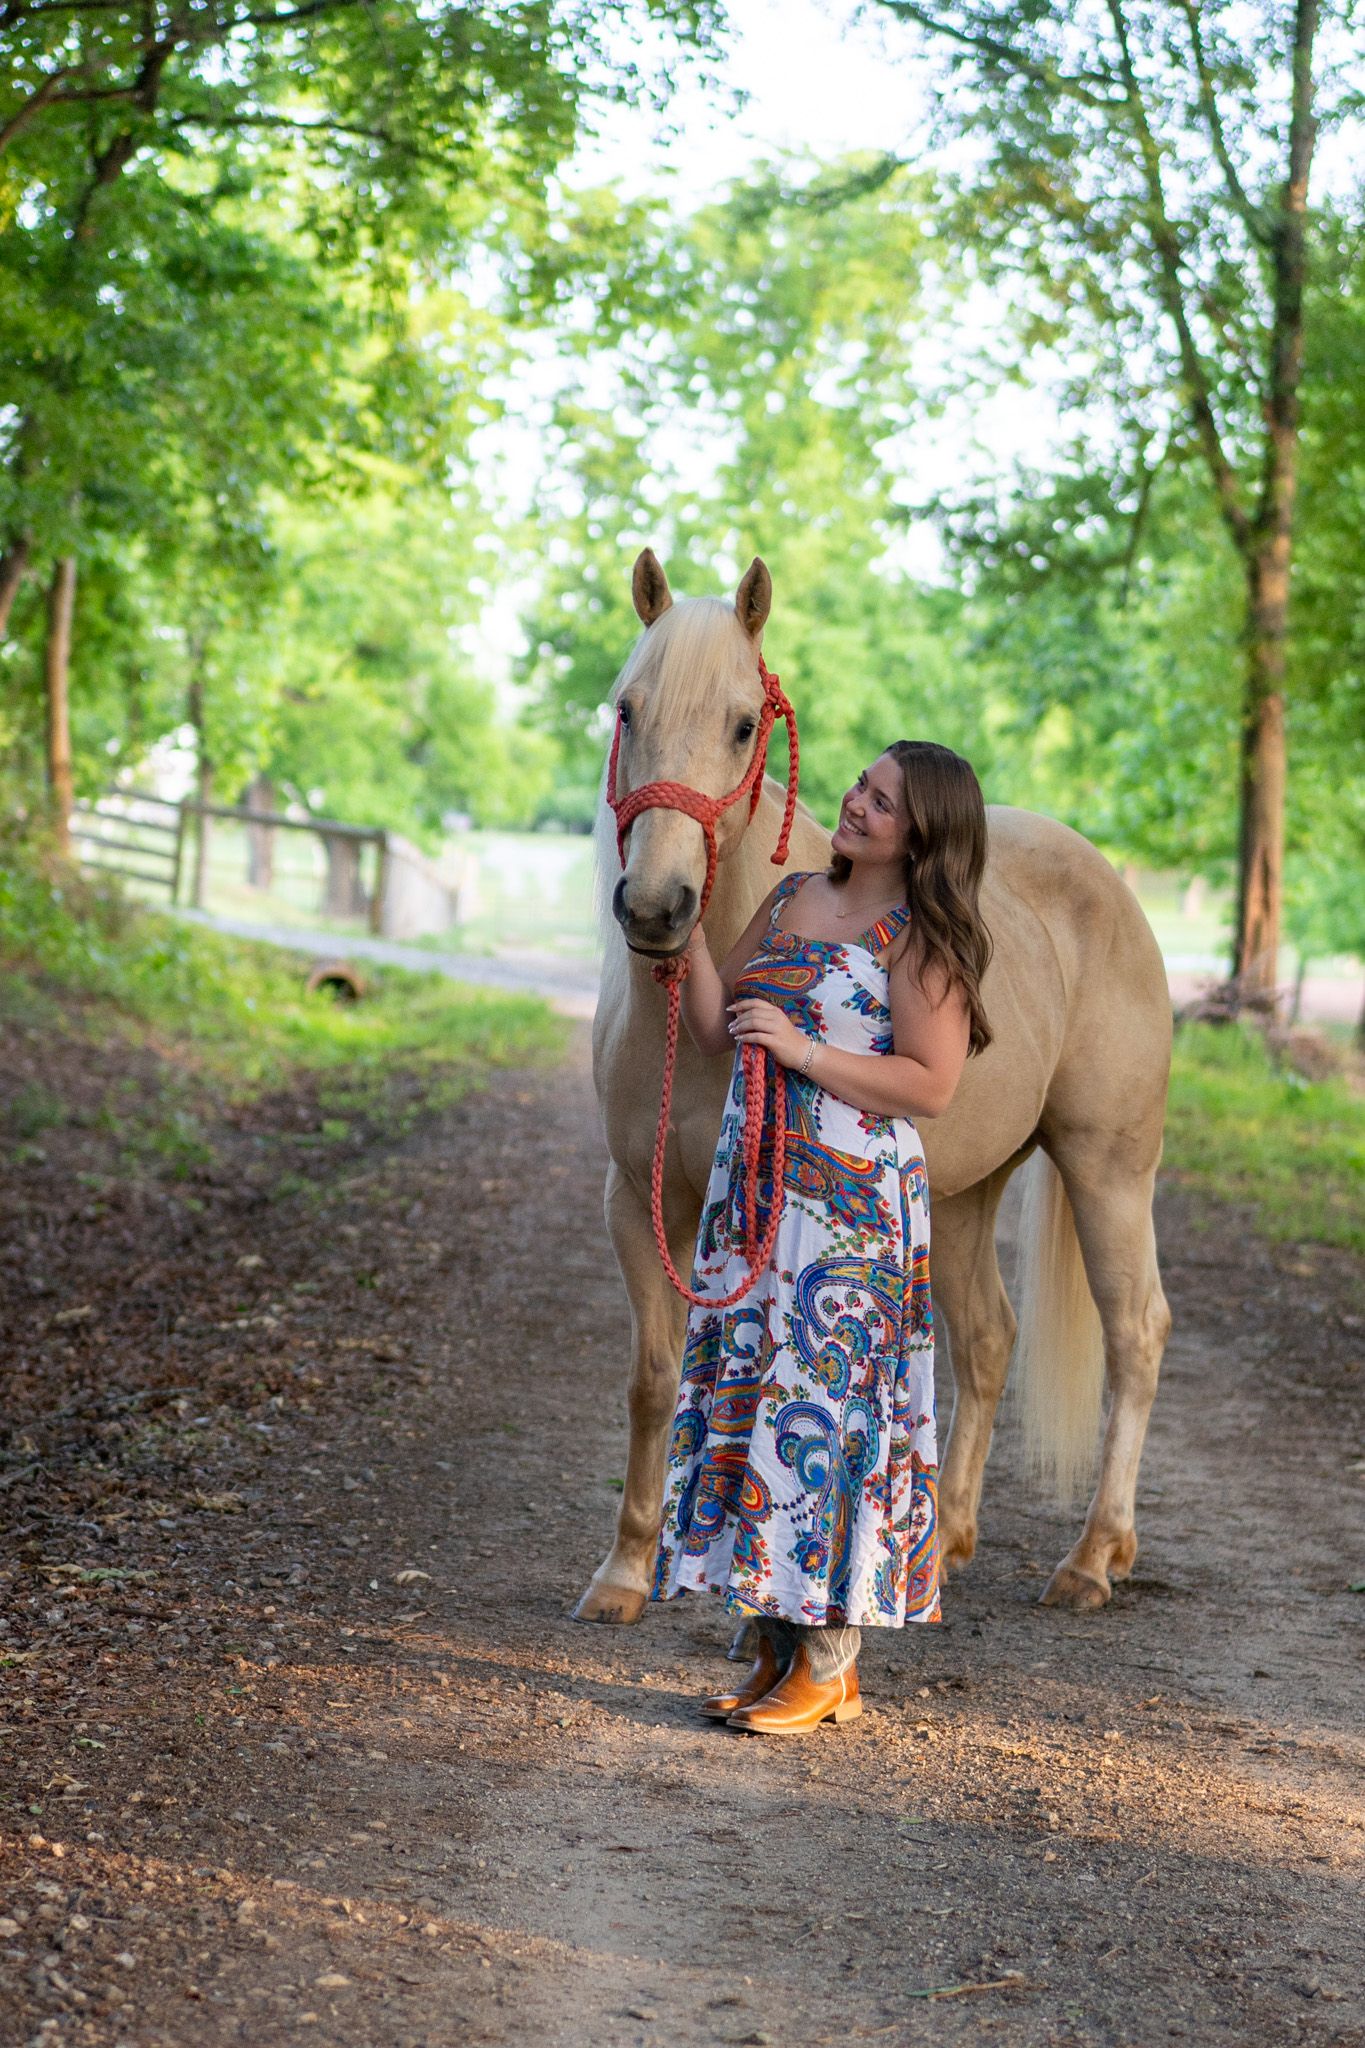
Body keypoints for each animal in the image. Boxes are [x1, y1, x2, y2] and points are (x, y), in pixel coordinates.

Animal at [575, 547, 1172, 1628]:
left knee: (1136, 1332)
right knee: (988, 1338)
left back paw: (1093, 1557)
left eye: (741, 723)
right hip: (970, 1189)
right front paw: (627, 1571)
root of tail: (1108, 882)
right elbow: (653, 1374)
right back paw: (955, 1539)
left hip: (1108, 1169)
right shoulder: (639, 1200)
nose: (654, 907)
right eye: (626, 709)